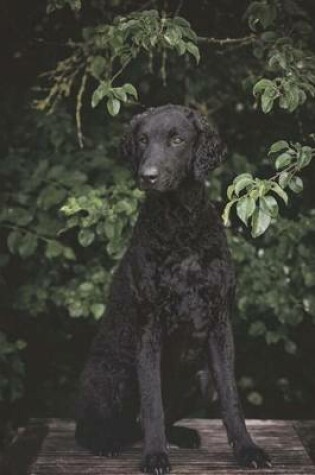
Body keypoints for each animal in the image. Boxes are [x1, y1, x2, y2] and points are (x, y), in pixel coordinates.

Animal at [74, 106, 272, 474]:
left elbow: (231, 400)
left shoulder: (219, 324)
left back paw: (180, 435)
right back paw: (107, 442)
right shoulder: (148, 326)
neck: (180, 226)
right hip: (112, 375)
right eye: (142, 139)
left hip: (201, 378)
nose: (147, 176)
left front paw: (247, 449)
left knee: (153, 421)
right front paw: (154, 457)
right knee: (93, 426)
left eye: (177, 139)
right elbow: (152, 403)